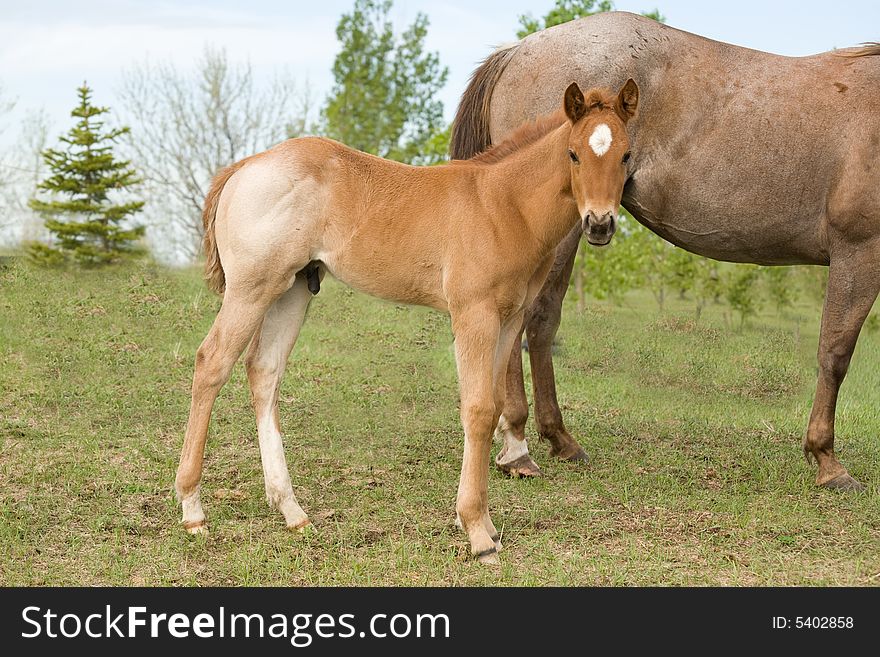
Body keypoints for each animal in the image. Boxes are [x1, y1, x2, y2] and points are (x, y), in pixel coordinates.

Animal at [174, 79, 640, 560]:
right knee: (211, 363)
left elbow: (493, 406)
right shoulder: (473, 316)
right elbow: (477, 409)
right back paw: (193, 510)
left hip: (293, 289)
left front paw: (484, 525)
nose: (599, 224)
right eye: (573, 154)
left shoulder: (510, 321)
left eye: (626, 154)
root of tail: (245, 166)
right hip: (252, 288)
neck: (502, 206)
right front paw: (477, 532)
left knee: (263, 371)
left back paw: (292, 511)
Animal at [454, 10, 880, 490]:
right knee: (529, 320)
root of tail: (517, 50)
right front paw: (827, 460)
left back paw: (559, 440)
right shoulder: (859, 251)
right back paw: (519, 449)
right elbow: (835, 352)